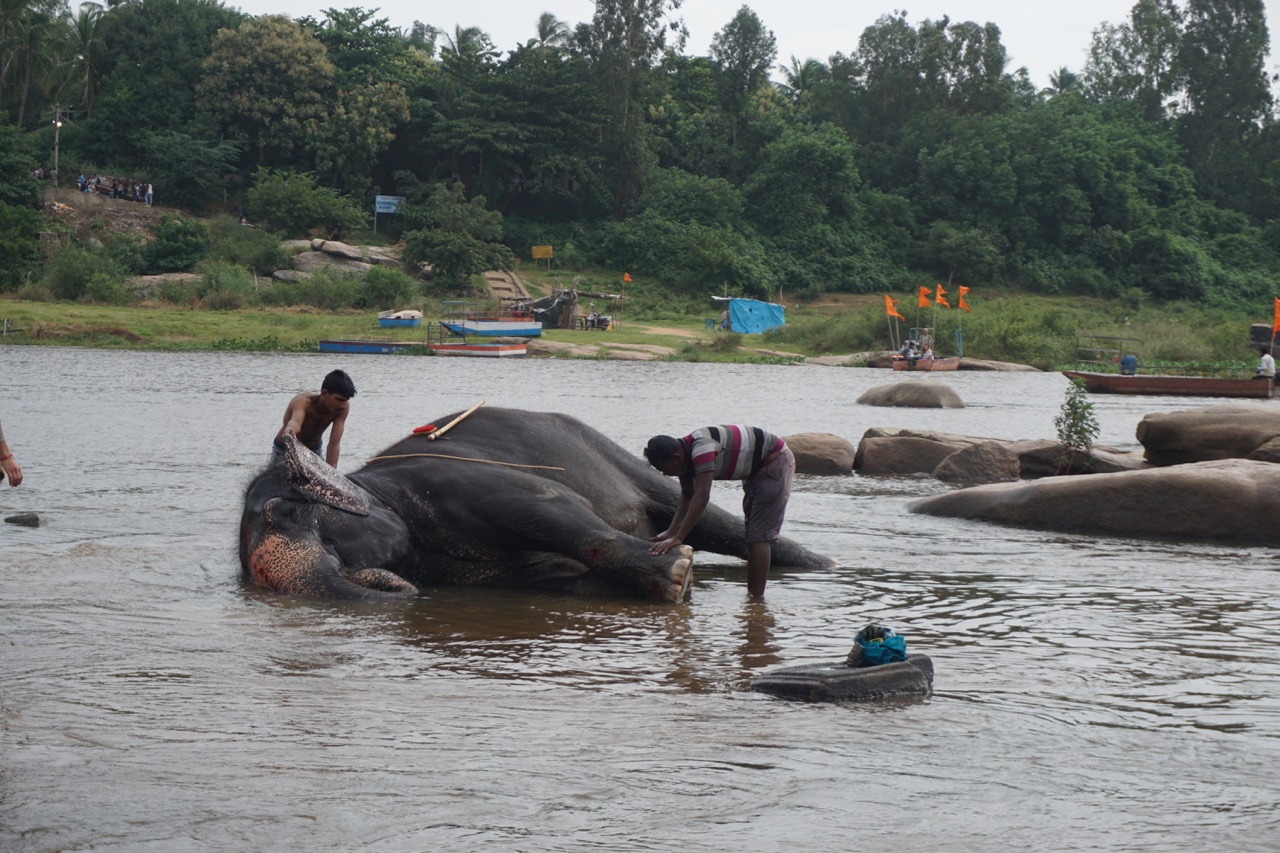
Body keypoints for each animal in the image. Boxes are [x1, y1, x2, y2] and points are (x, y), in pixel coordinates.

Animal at [240, 406, 834, 602]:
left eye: (286, 511)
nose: (396, 587)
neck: (371, 482)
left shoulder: (462, 480)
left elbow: (551, 508)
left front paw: (678, 571)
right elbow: (554, 578)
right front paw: (674, 582)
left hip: (611, 453)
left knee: (706, 516)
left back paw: (825, 566)